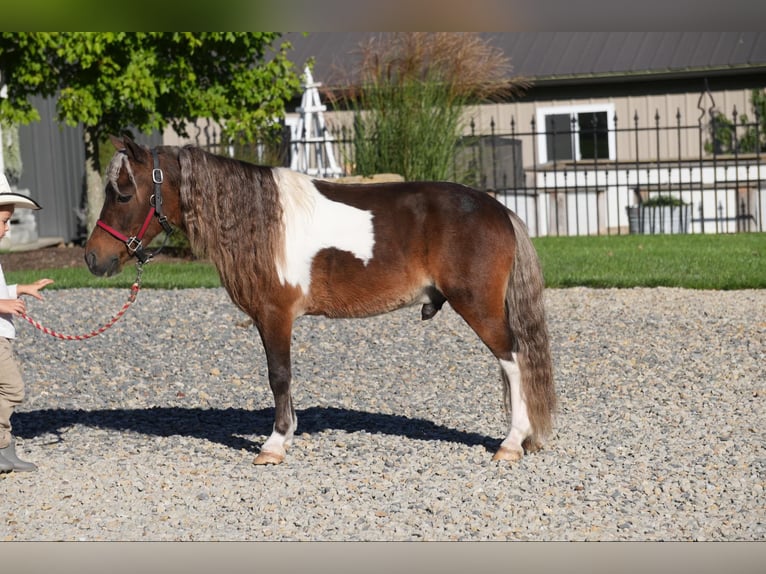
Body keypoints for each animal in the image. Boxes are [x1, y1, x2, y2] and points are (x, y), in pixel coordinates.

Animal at [85, 136, 560, 468]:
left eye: (123, 192)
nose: (93, 258)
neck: (261, 219)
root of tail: (498, 209)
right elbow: (282, 379)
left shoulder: (274, 316)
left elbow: (279, 376)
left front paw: (275, 444)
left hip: (479, 308)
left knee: (514, 362)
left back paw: (511, 443)